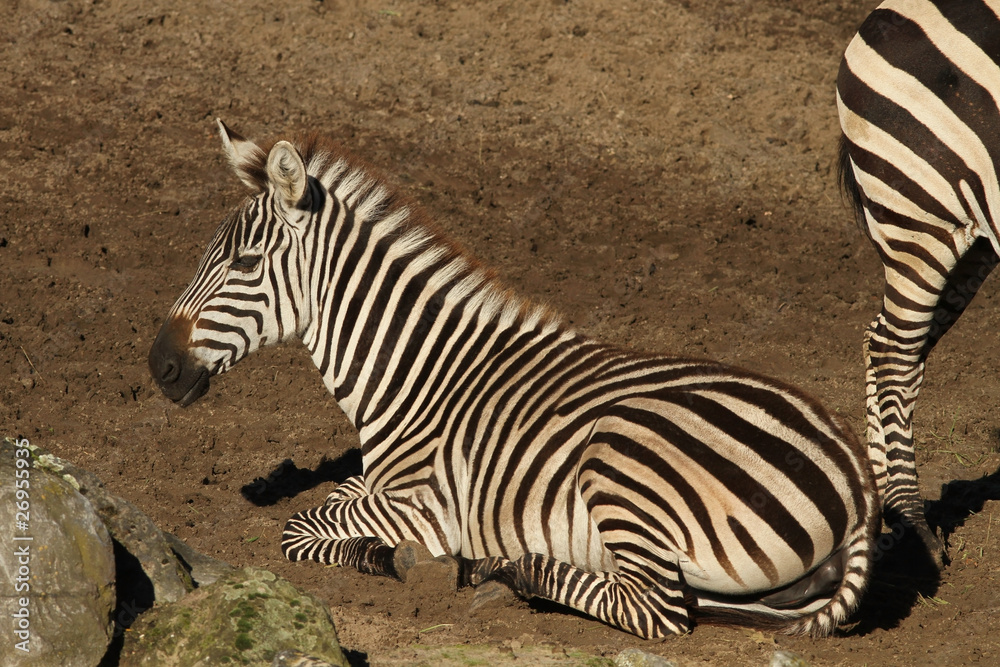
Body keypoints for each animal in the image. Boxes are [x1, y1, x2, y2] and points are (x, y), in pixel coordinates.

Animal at [148, 120, 880, 638]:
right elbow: (324, 504)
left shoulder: (424, 503)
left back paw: (502, 569)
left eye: (244, 262)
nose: (159, 366)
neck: (416, 374)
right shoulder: (375, 483)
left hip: (621, 454)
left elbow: (300, 525)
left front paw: (397, 557)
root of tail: (858, 481)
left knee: (657, 611)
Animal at [837, 0, 1000, 566]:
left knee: (884, 342)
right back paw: (911, 519)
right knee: (894, 351)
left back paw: (883, 510)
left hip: (972, 234)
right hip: (923, 214)